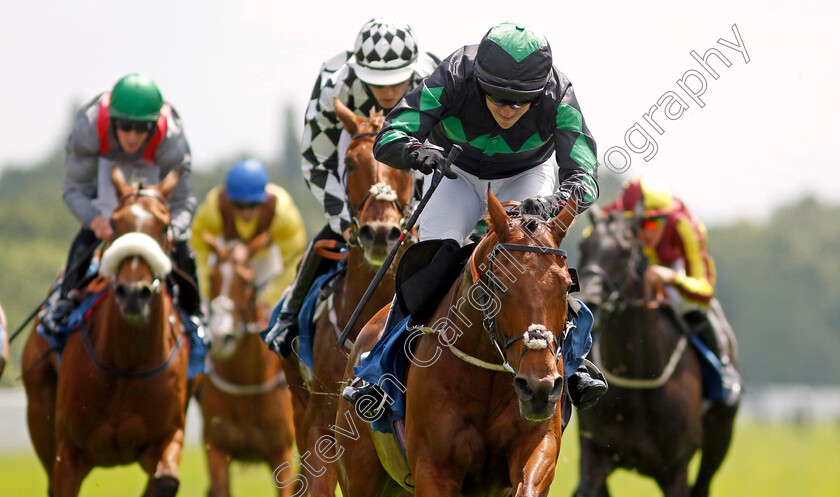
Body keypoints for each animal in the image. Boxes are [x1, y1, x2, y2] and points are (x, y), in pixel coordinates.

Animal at [20, 168, 189, 496]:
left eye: (164, 226)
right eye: (114, 223)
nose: (133, 293)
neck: (128, 363)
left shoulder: (169, 434)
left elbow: (166, 479)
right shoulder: (68, 452)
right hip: (39, 406)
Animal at [334, 192, 576, 496]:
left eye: (566, 286)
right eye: (499, 284)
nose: (539, 388)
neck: (488, 374)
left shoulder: (538, 446)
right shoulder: (433, 469)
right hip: (360, 473)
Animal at [572, 207, 740, 494]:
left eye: (625, 249)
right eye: (584, 245)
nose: (589, 303)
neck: (638, 373)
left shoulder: (675, 468)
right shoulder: (595, 451)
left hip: (719, 439)